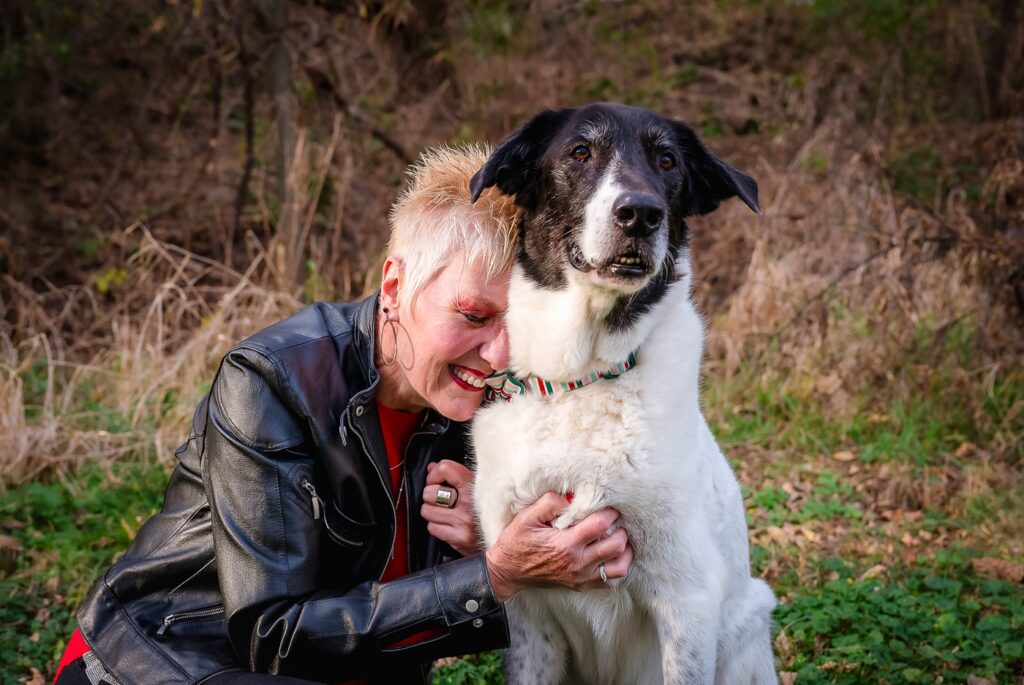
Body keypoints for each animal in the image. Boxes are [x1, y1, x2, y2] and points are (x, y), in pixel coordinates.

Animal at [468, 102, 774, 683]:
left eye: (667, 160)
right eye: (580, 152)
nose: (640, 214)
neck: (581, 379)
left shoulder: (686, 598)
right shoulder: (523, 607)